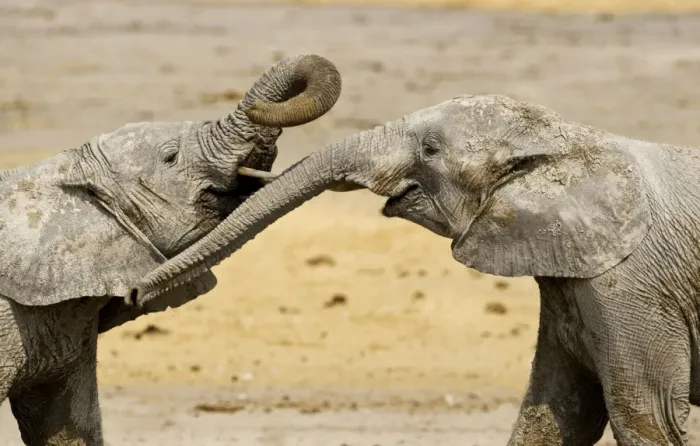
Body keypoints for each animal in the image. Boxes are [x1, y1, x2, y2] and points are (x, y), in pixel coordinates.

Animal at [131, 92, 700, 445]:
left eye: (429, 149)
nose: (133, 294)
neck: (573, 139)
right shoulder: (570, 278)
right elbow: (557, 411)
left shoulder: (629, 283)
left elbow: (645, 416)